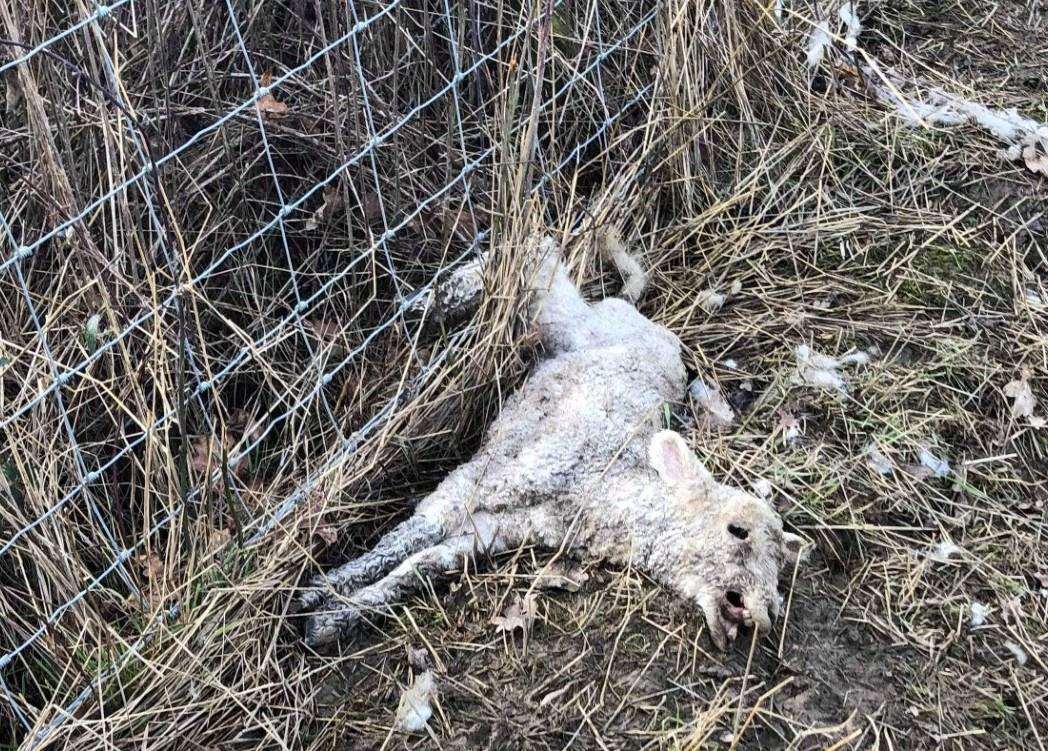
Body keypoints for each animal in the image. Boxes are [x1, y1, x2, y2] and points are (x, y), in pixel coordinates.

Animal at [299, 234, 804, 649]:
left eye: (780, 565)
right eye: (736, 530)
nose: (762, 616)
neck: (598, 486)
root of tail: (638, 315)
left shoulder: (503, 528)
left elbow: (425, 564)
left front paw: (332, 619)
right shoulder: (486, 478)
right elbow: (406, 538)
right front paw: (317, 593)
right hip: (563, 319)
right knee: (538, 257)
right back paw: (429, 303)